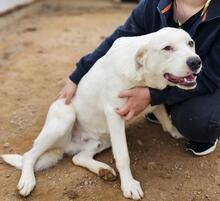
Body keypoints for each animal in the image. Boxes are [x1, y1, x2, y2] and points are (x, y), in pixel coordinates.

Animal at [1, 27, 201, 200]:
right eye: (167, 48)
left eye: (191, 43)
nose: (196, 61)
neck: (142, 76)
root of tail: (64, 147)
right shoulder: (115, 114)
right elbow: (123, 156)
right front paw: (129, 185)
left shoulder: (151, 97)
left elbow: (164, 117)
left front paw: (174, 131)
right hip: (65, 119)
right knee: (29, 156)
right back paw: (27, 181)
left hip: (103, 140)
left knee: (78, 158)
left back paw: (102, 170)